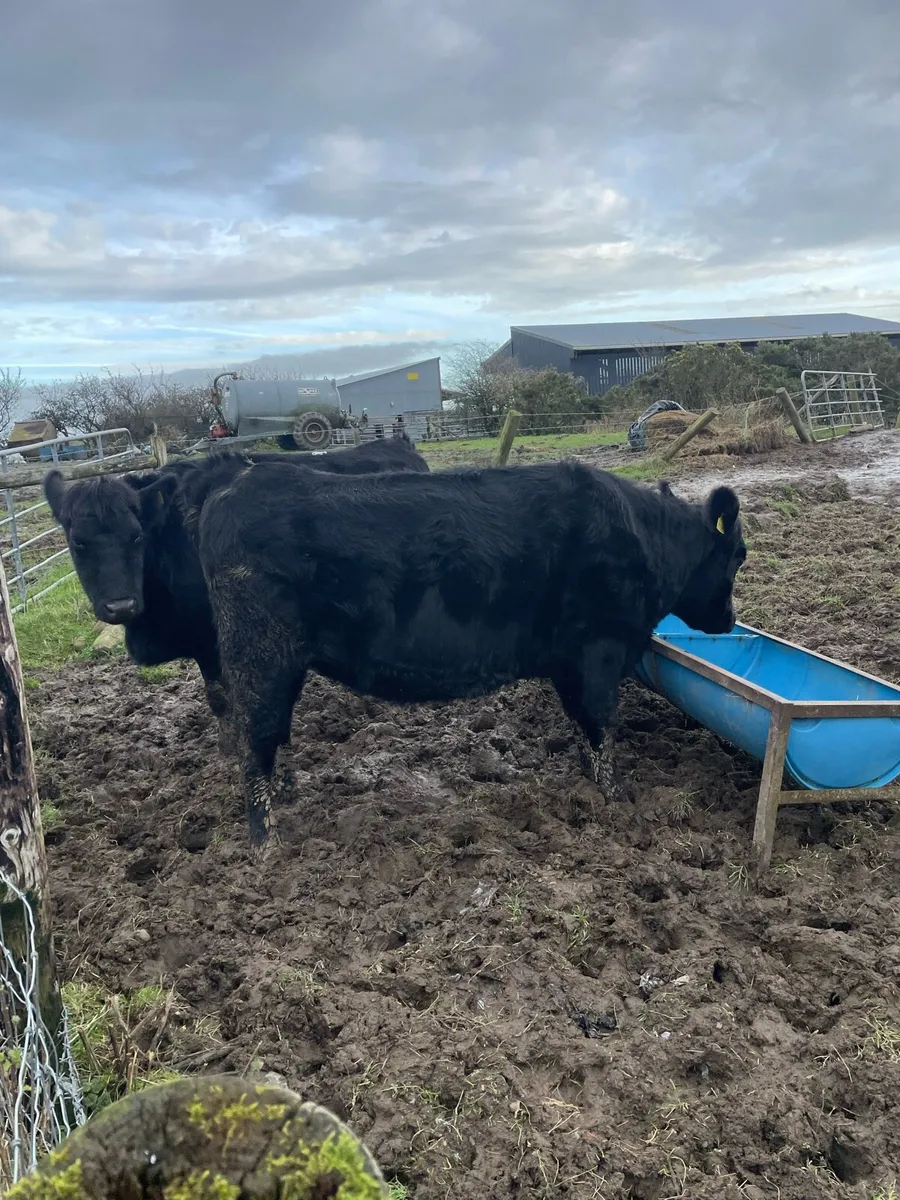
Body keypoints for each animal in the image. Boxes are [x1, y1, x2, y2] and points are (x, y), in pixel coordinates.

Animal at [163, 452, 746, 847]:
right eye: (738, 554)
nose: (728, 619)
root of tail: (234, 480)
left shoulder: (571, 662)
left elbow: (585, 726)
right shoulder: (599, 650)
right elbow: (603, 725)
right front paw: (614, 800)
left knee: (273, 735)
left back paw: (287, 798)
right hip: (258, 654)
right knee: (255, 742)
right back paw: (268, 844)